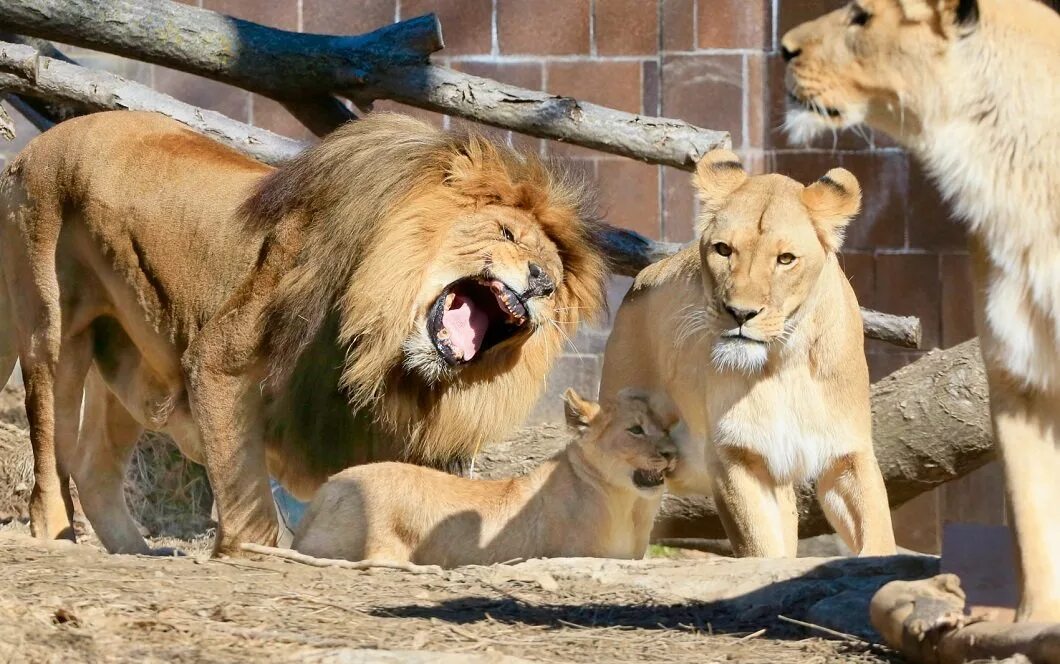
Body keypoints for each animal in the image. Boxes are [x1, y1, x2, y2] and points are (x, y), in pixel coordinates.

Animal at [0, 109, 610, 551]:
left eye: (556, 279)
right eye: (505, 232)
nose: (539, 282)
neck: (384, 350)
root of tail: (28, 150)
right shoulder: (220, 363)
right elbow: (249, 504)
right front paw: (253, 555)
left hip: (127, 357)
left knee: (94, 466)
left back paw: (137, 553)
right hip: (50, 332)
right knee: (51, 451)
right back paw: (57, 540)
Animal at [602, 148, 890, 551]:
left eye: (785, 259)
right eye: (723, 250)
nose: (740, 313)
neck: (785, 361)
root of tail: (641, 279)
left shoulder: (848, 451)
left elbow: (878, 536)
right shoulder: (736, 457)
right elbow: (762, 548)